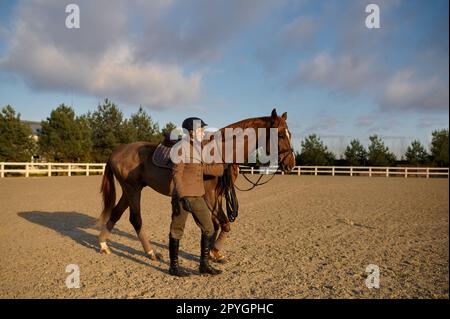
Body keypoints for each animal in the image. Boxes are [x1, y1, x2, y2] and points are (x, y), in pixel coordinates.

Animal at [95, 110, 298, 262]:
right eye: (280, 134)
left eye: (289, 134)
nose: (291, 164)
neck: (220, 153)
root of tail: (117, 151)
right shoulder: (209, 195)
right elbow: (224, 224)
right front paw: (213, 252)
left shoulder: (218, 195)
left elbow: (216, 225)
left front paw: (213, 253)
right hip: (133, 190)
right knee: (135, 219)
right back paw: (151, 252)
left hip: (129, 191)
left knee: (116, 213)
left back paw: (103, 245)